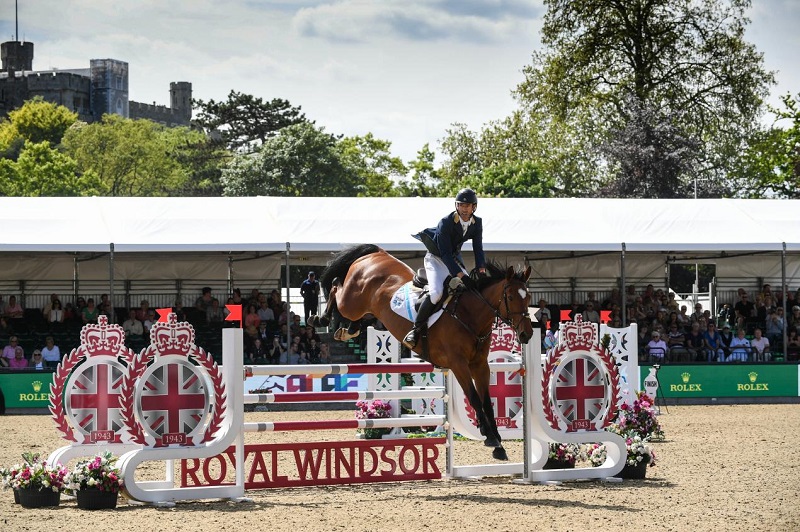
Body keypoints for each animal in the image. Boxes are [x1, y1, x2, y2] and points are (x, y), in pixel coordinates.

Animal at [310, 243, 532, 460]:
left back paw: (348, 330)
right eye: (510, 297)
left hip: (363, 308)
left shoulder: (480, 365)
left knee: (355, 314)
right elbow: (475, 398)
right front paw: (491, 438)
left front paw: (497, 443)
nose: (526, 334)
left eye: (528, 297)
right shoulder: (458, 364)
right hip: (351, 302)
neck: (468, 315)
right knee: (336, 287)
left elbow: (486, 401)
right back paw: (319, 318)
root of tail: (377, 253)